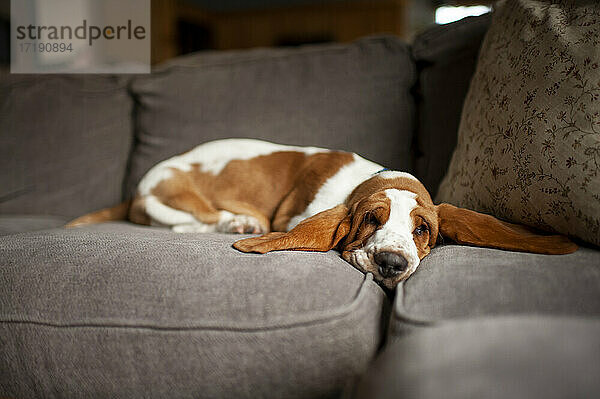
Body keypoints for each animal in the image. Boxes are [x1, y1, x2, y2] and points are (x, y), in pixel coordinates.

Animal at [68, 139, 580, 290]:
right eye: (371, 219)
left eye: (423, 229)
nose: (391, 264)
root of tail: (142, 183)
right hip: (173, 199)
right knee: (189, 221)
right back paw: (237, 222)